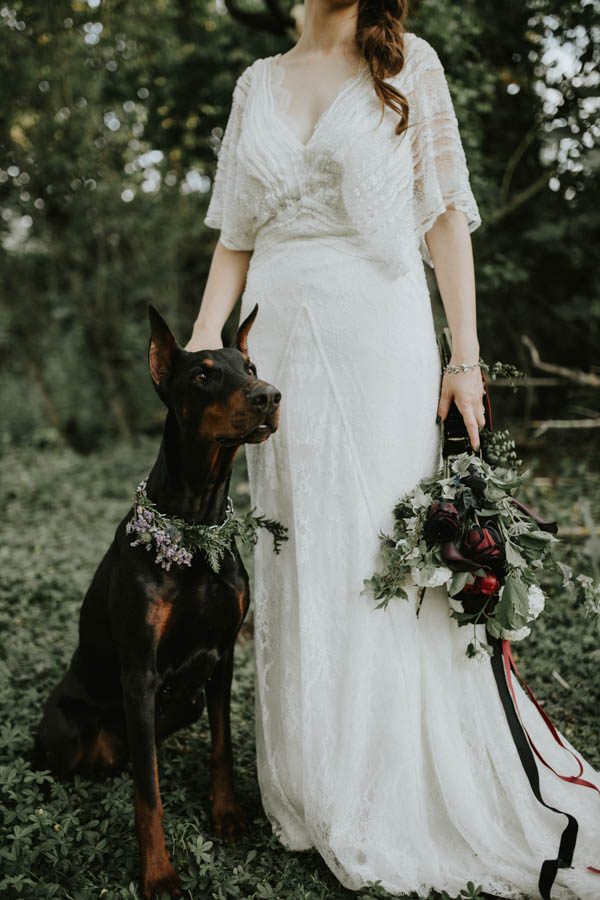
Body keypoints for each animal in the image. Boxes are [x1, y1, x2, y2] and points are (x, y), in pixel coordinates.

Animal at [30, 304, 278, 900]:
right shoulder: (139, 674)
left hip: (183, 703)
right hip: (69, 728)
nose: (270, 396)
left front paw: (227, 815)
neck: (194, 524)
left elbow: (220, 747)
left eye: (251, 366)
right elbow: (149, 793)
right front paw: (159, 874)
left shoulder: (222, 656)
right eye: (204, 374)